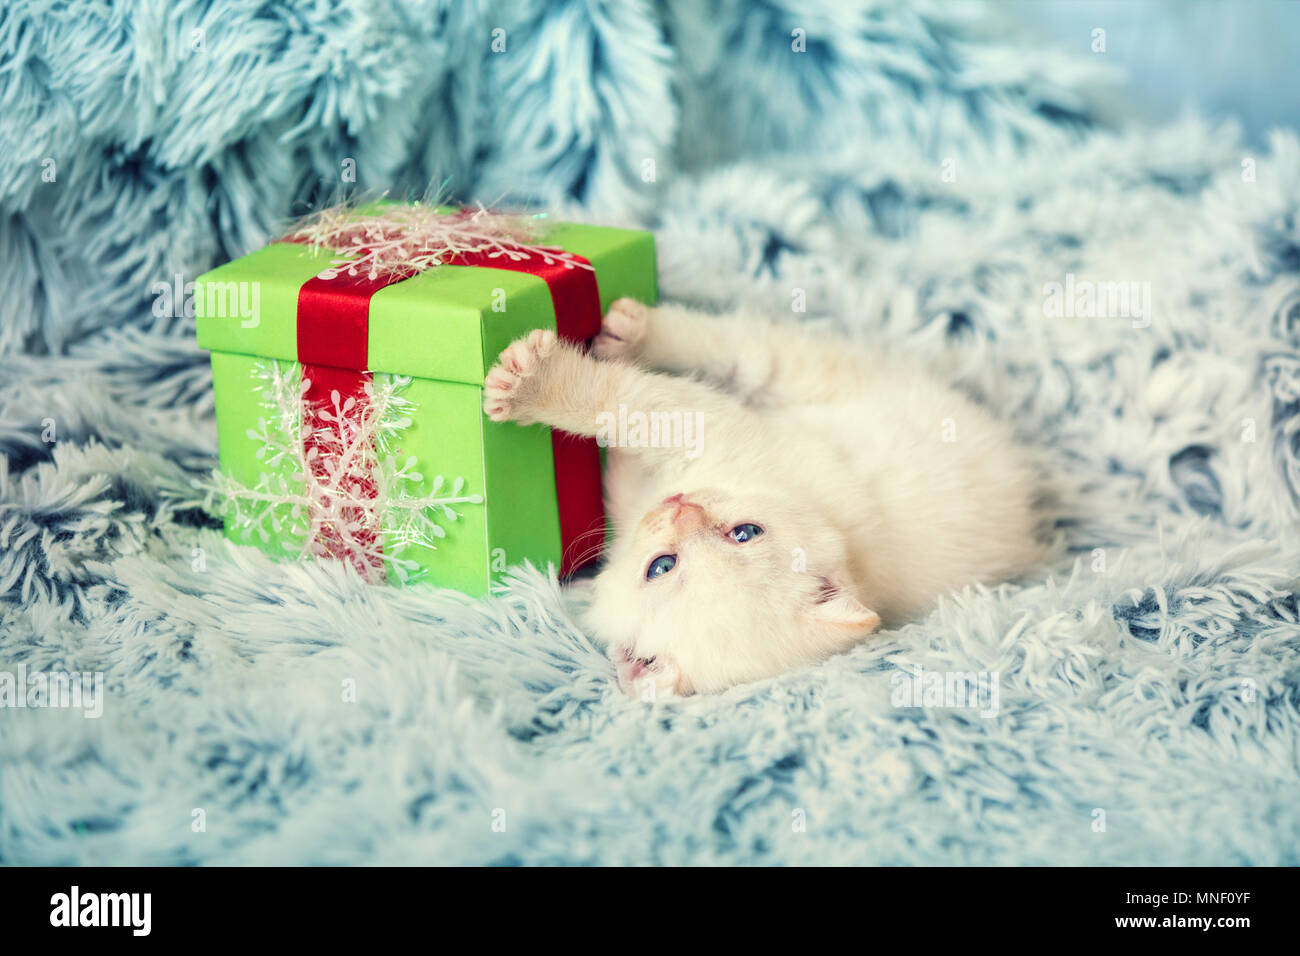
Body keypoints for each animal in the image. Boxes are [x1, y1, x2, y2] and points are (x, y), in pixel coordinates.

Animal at [483, 299, 1040, 697]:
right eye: (746, 533)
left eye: (661, 567)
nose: (682, 508)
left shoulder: (726, 433)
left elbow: (629, 405)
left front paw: (536, 384)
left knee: (753, 351)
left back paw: (630, 335)